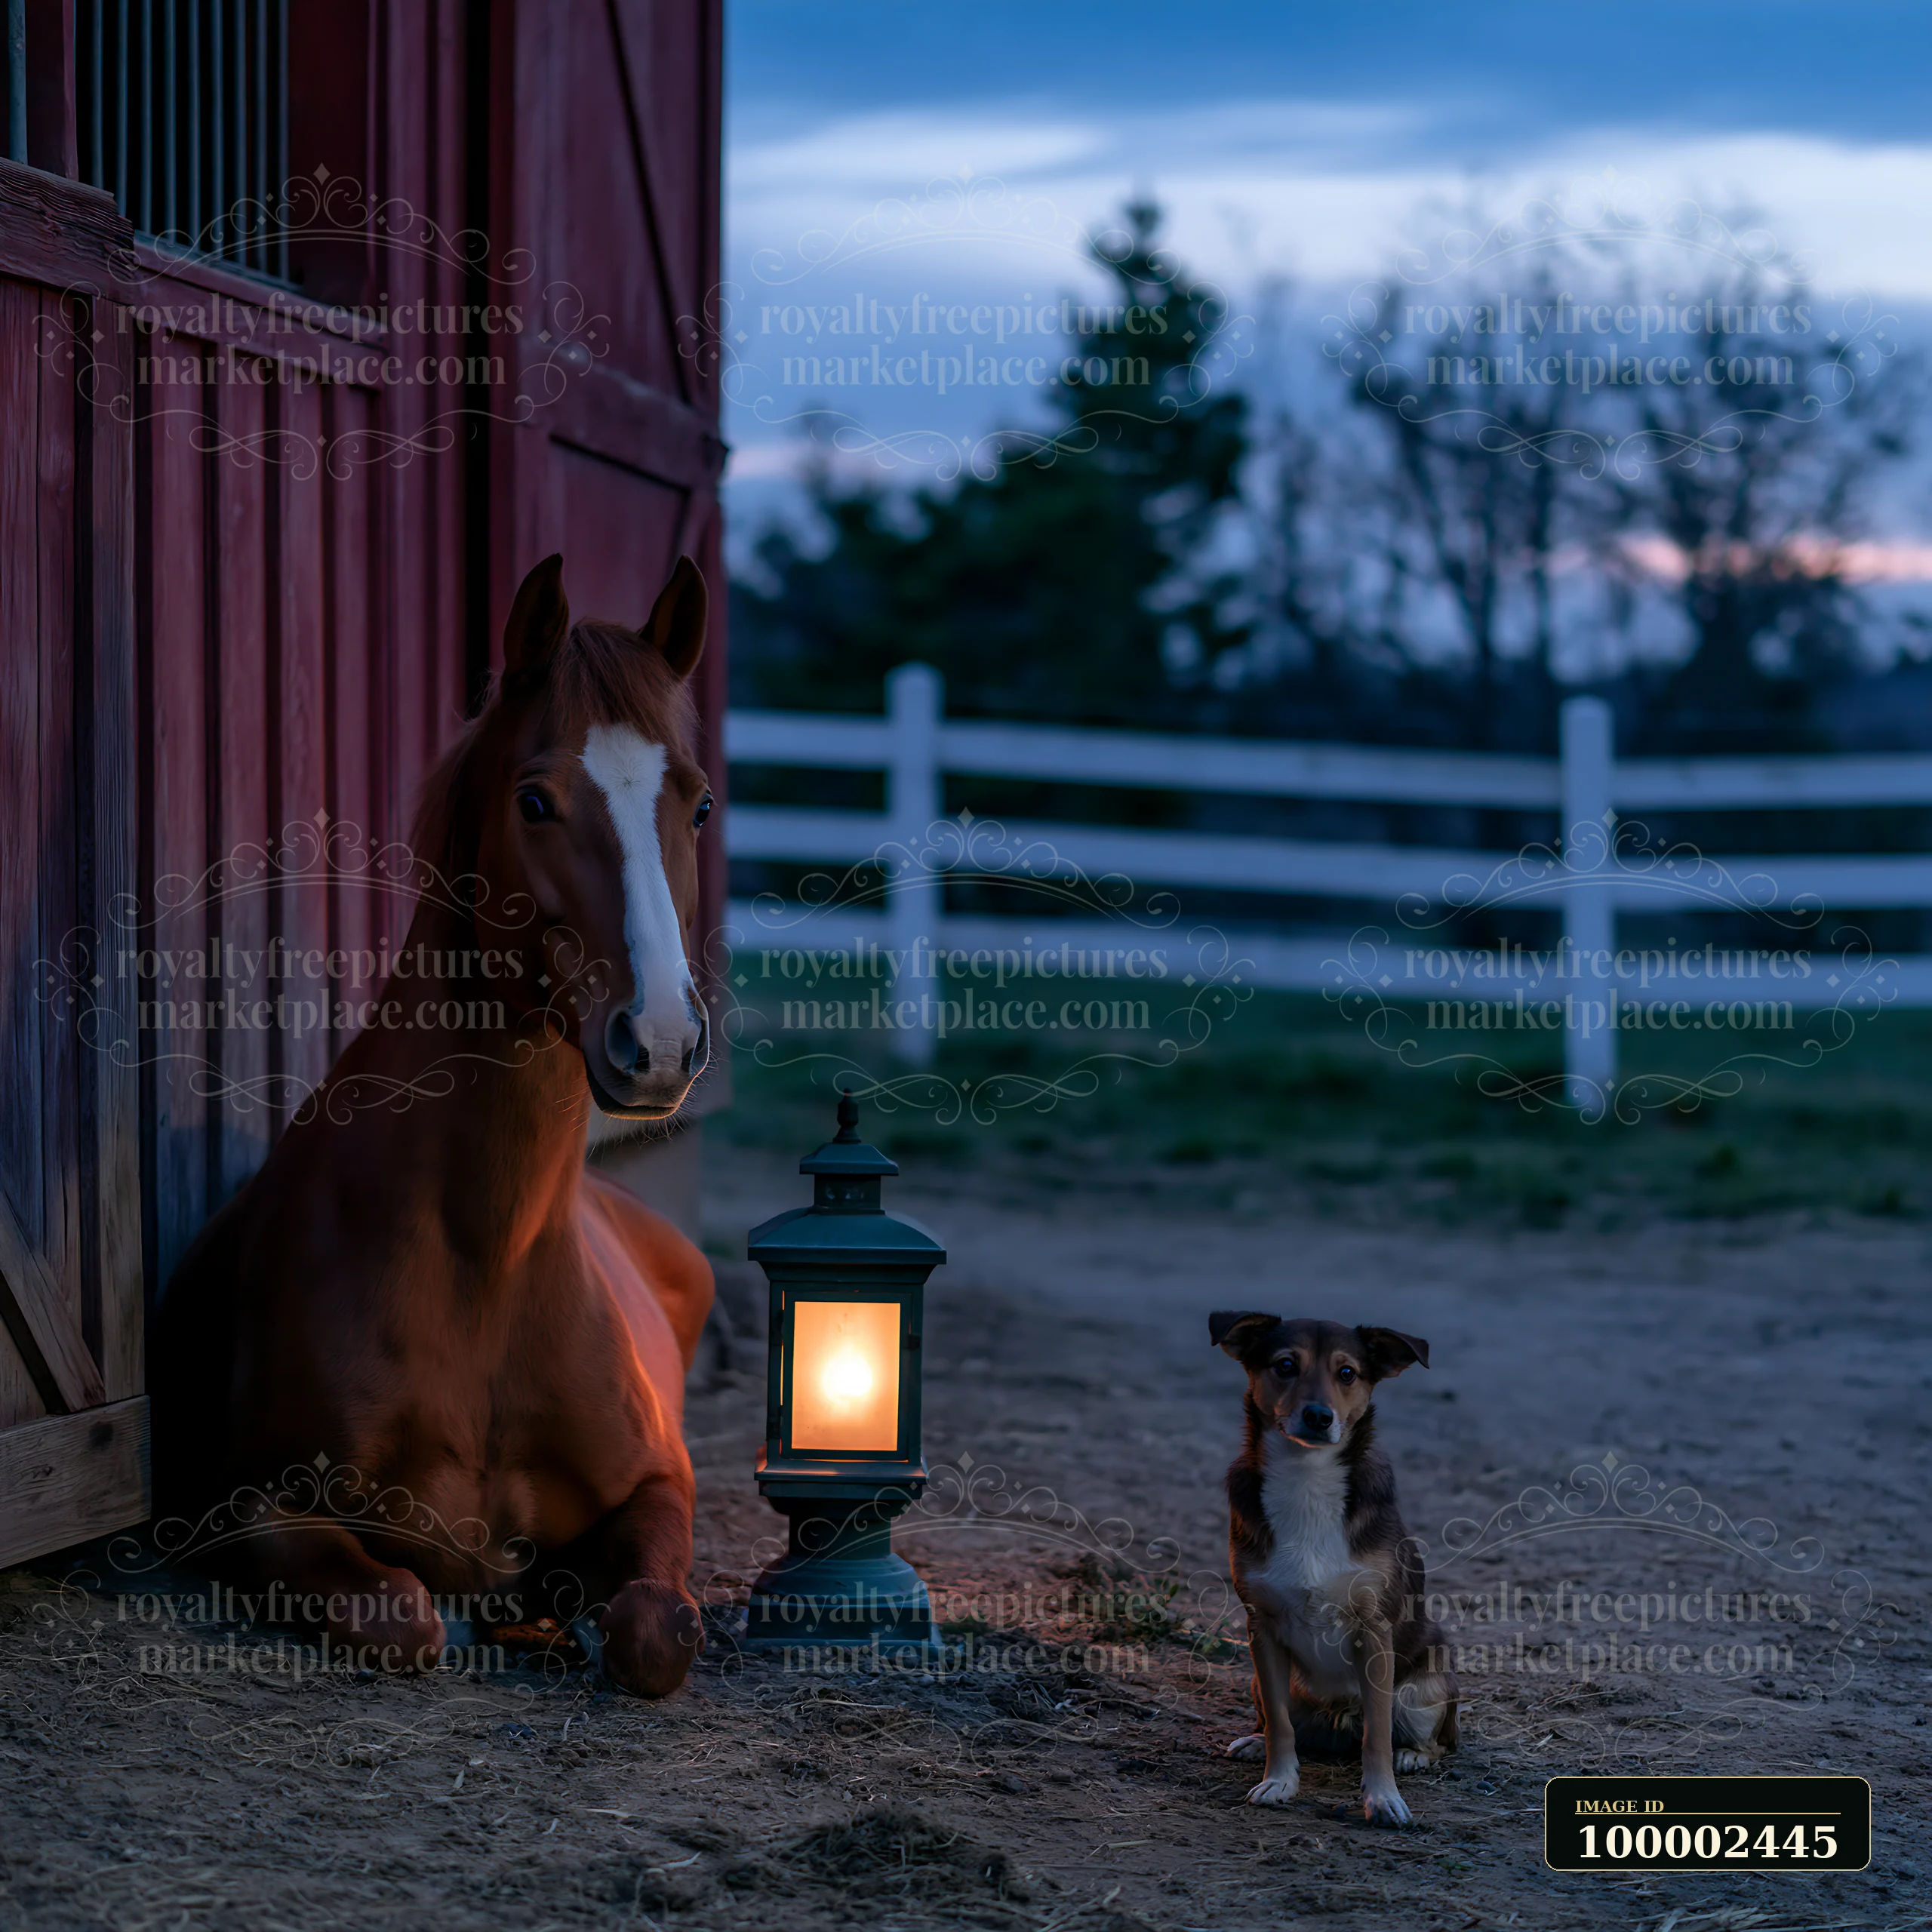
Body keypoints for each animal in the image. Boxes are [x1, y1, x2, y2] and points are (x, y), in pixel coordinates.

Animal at [151, 554, 718, 1696]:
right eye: (535, 800)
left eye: (700, 805)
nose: (662, 1041)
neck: (486, 1259)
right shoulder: (248, 1503)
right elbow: (400, 1613)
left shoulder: (661, 1483)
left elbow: (654, 1630)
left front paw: (573, 1604)